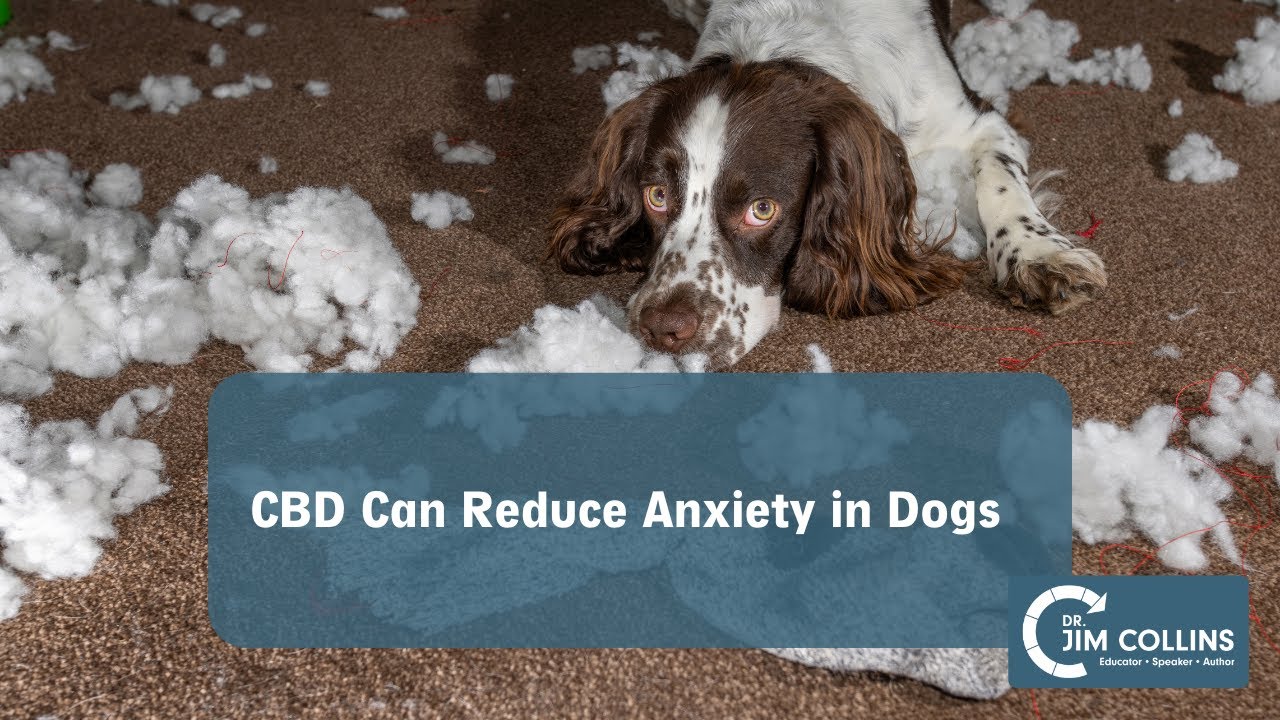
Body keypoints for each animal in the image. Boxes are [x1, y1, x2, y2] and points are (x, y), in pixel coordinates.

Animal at [548, 0, 1107, 369]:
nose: (663, 329)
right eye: (657, 196)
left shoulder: (978, 121)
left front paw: (1041, 256)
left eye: (762, 209)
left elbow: (1001, 181)